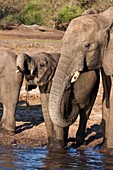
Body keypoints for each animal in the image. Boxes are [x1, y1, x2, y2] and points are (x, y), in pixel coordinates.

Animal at [48, 6, 113, 151]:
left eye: (87, 45)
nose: (74, 102)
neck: (103, 18)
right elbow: (107, 95)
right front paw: (103, 150)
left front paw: (109, 151)